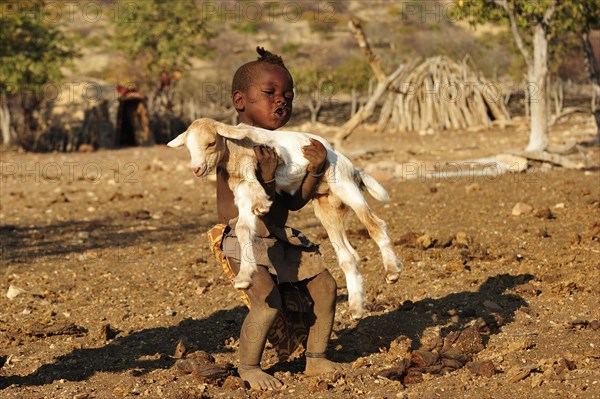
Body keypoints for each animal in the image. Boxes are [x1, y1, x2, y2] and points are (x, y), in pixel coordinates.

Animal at [169, 118, 404, 318]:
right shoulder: (241, 193)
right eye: (188, 148)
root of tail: (352, 167)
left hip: (344, 184)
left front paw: (262, 202)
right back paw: (356, 307)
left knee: (375, 224)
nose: (197, 169)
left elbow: (256, 177)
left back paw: (392, 271)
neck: (236, 151)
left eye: (210, 143)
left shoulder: (270, 155)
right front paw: (244, 277)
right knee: (348, 256)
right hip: (326, 207)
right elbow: (243, 229)